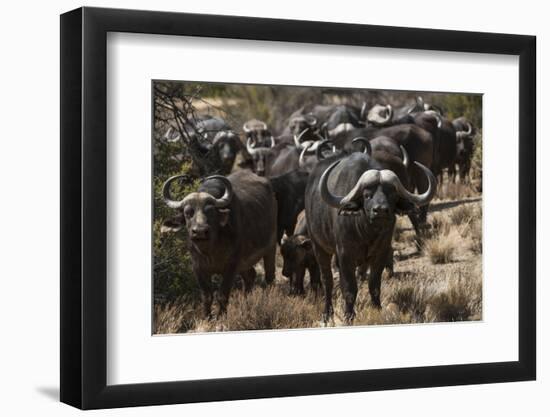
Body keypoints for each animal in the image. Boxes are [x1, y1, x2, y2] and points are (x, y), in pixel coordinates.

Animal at [162, 171, 278, 316]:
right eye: (188, 213)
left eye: (210, 211)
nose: (200, 231)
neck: (210, 251)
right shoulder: (198, 268)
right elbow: (206, 296)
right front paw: (206, 316)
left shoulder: (231, 266)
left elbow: (222, 294)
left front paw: (221, 316)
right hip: (245, 263)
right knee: (250, 276)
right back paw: (246, 304)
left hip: (271, 248)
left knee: (269, 277)